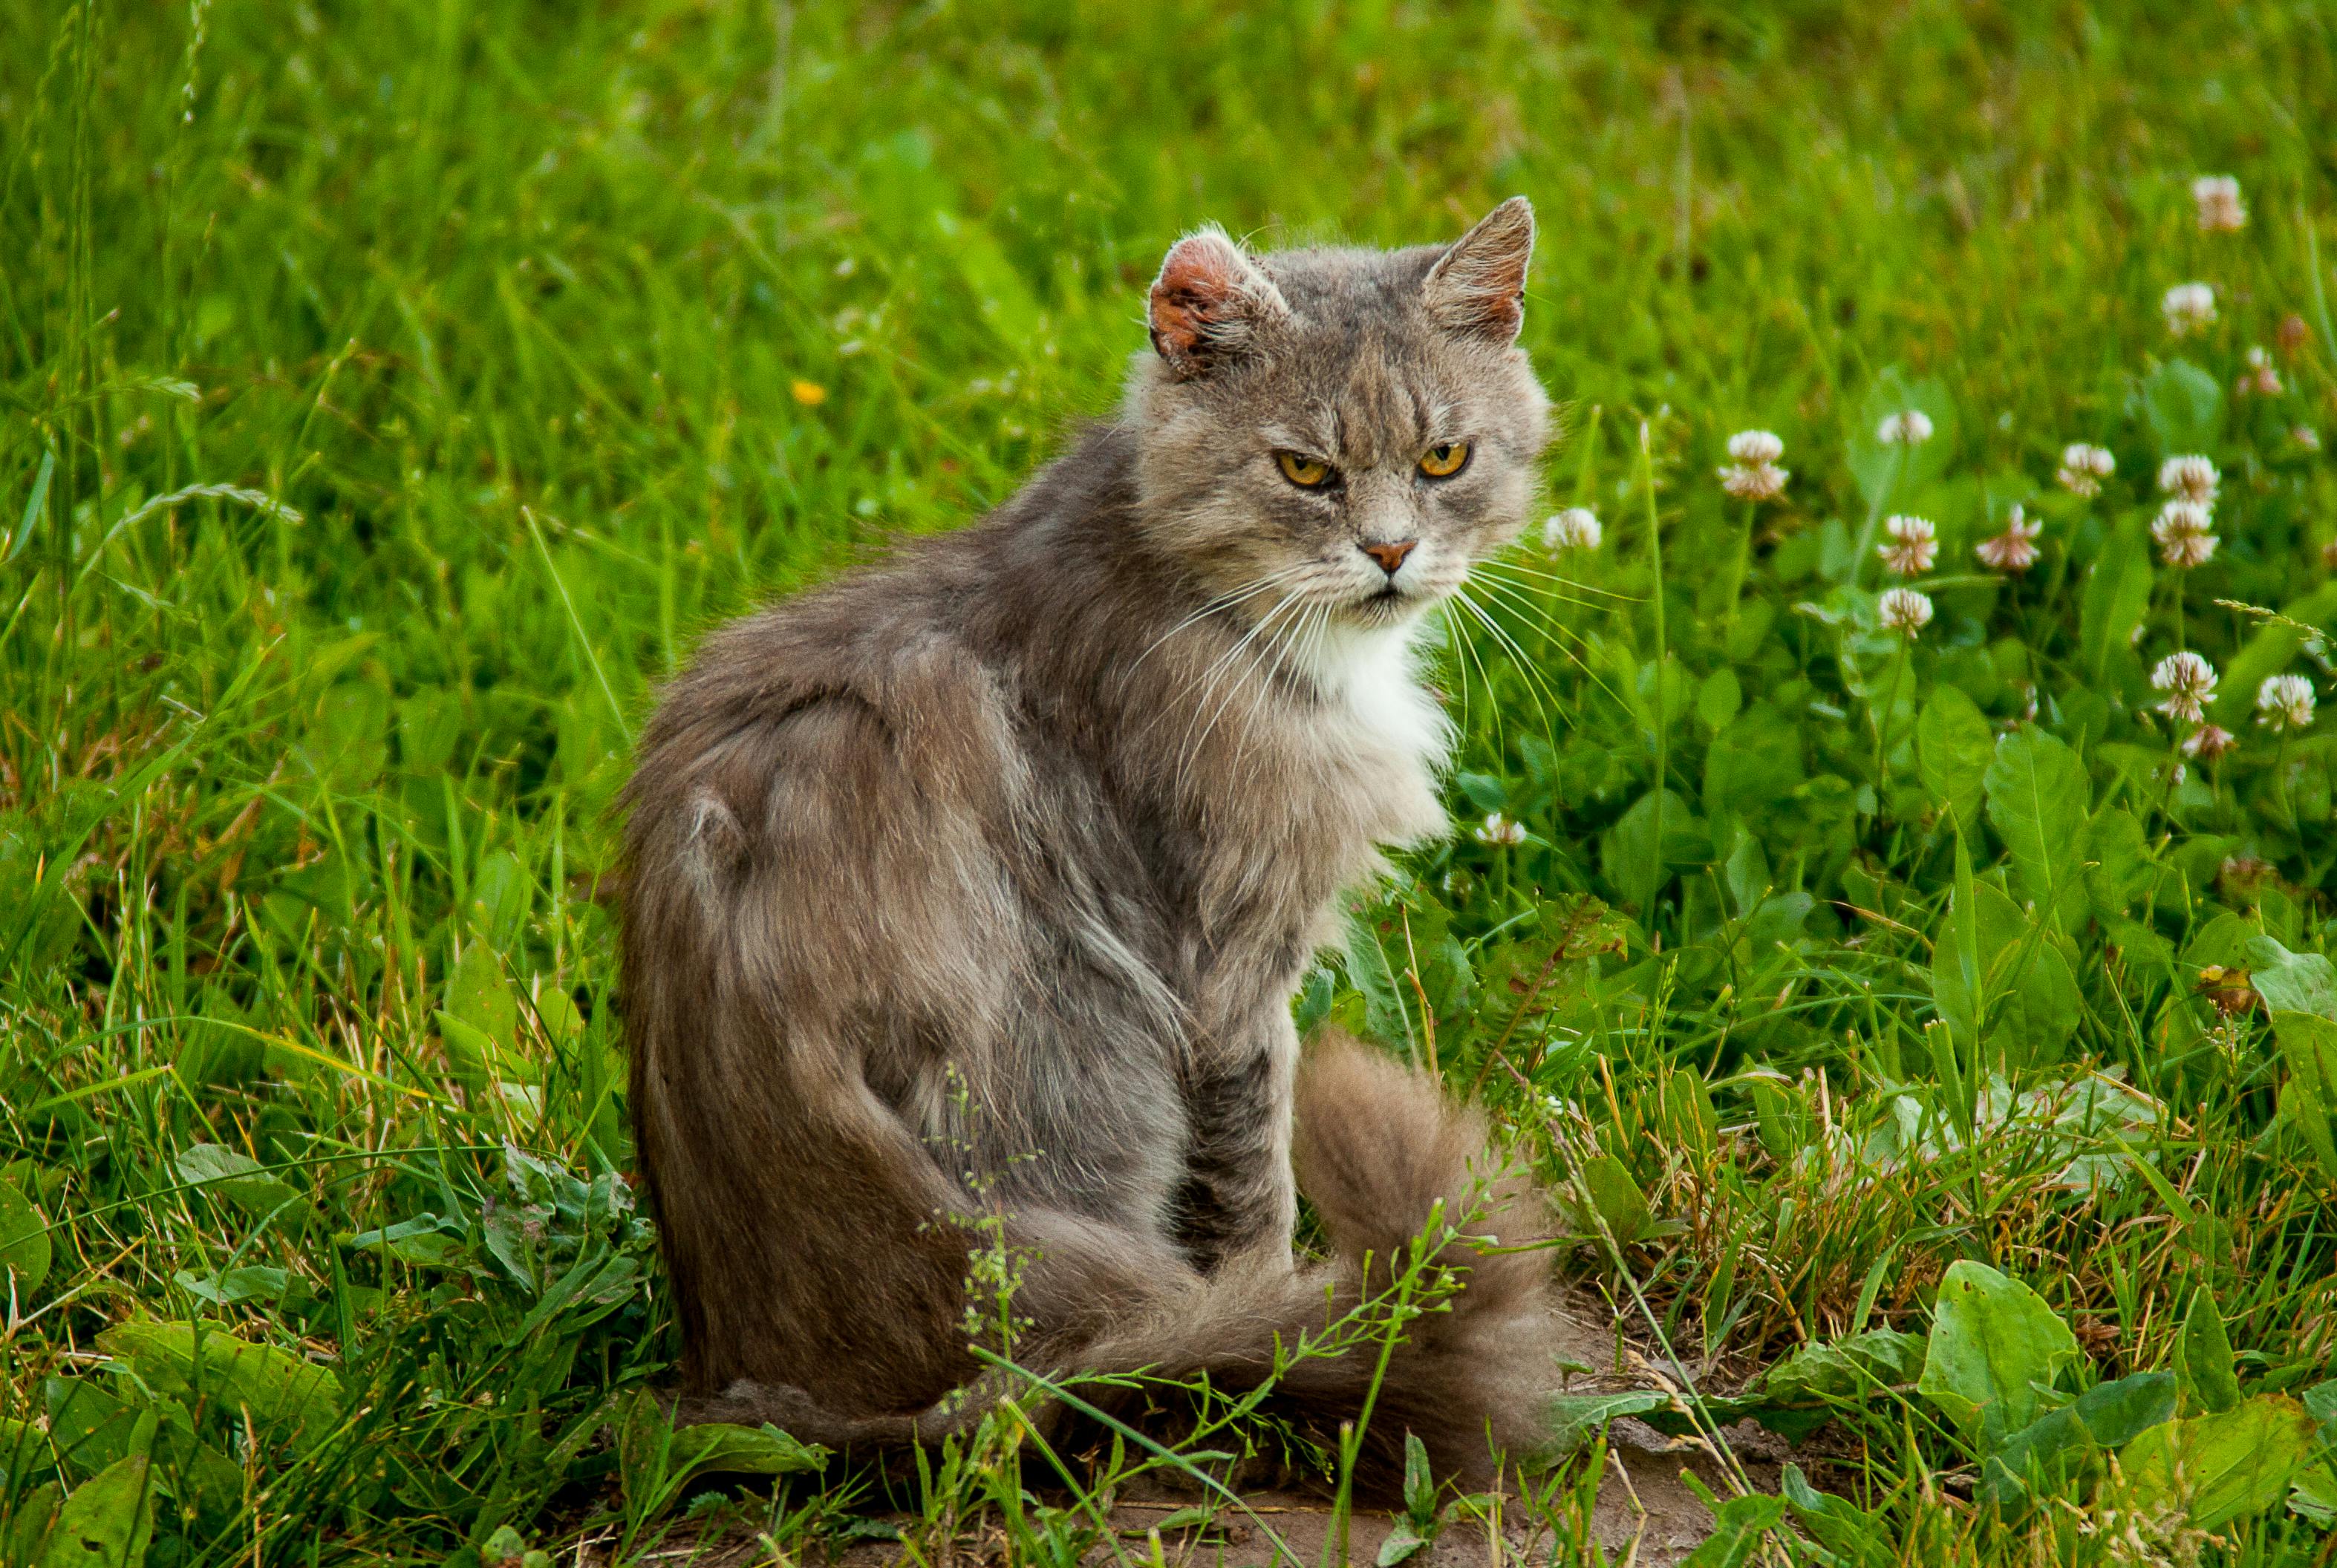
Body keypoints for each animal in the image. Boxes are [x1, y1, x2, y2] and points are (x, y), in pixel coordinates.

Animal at [630, 202, 1561, 1486]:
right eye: (1303, 470)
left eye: (1442, 461)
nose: (1387, 554)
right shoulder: (1224, 969)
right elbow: (1253, 1183)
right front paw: (1275, 1308)